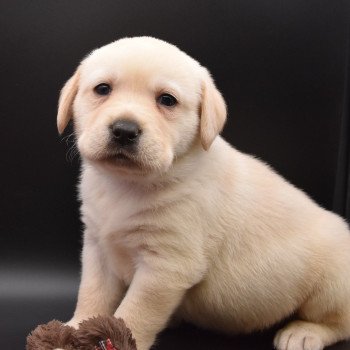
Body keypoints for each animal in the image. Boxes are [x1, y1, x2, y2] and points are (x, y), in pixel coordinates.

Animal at [56, 37, 350, 348]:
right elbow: (92, 295)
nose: (124, 130)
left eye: (167, 100)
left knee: (338, 322)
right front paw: (75, 331)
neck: (127, 184)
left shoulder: (166, 265)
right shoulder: (98, 248)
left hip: (332, 283)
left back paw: (304, 332)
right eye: (102, 89)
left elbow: (134, 313)